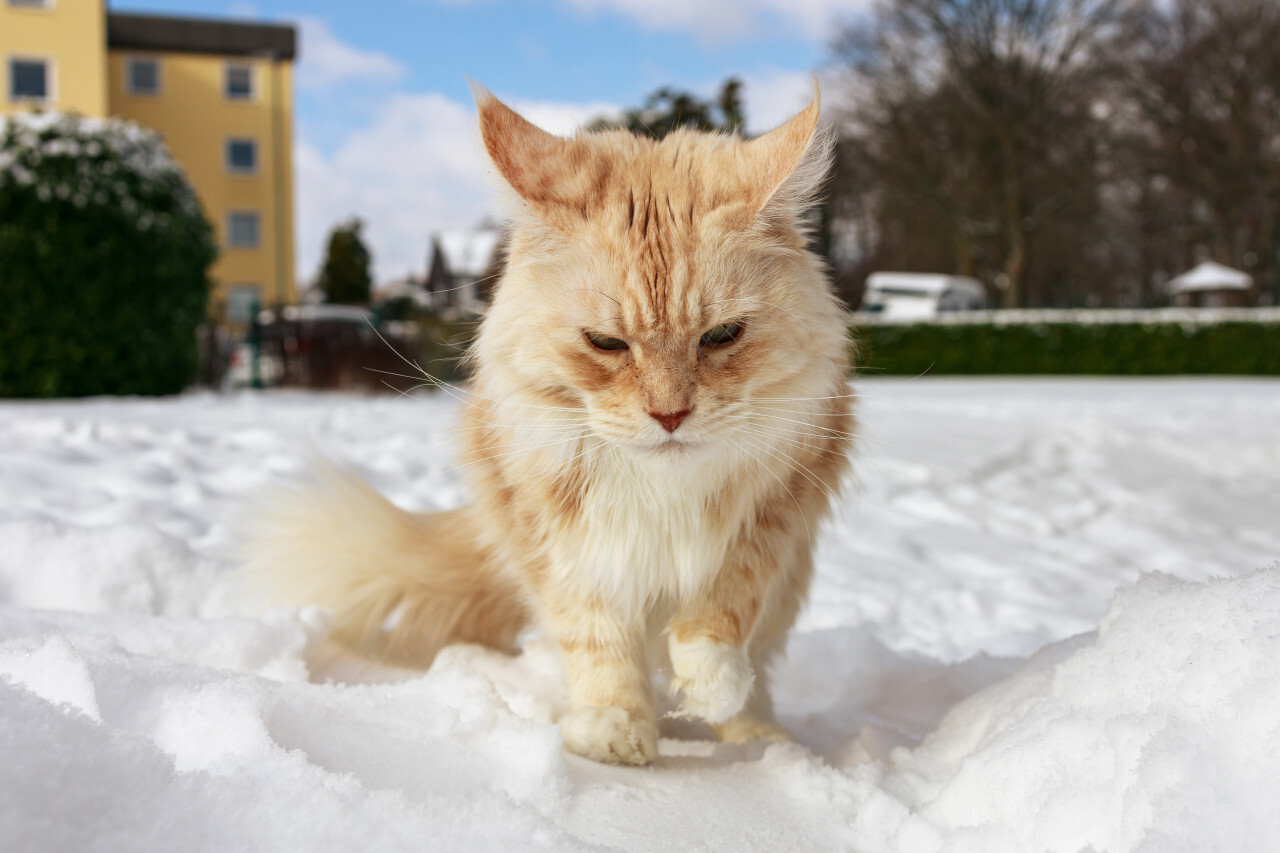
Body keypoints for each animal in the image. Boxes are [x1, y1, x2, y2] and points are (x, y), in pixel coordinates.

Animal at [244, 84, 855, 763]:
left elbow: (723, 609)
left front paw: (712, 689)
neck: (662, 485)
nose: (670, 414)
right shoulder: (559, 541)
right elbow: (599, 642)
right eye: (606, 343)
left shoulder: (777, 509)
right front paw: (615, 731)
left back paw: (757, 736)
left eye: (722, 336)